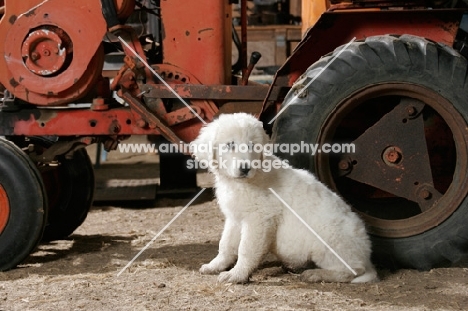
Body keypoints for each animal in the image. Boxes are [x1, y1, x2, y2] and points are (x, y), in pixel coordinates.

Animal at [192, 113, 378, 284]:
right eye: (230, 145)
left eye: (252, 146)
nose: (245, 168)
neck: (241, 182)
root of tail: (367, 256)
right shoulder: (235, 217)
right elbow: (226, 244)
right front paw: (215, 265)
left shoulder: (259, 219)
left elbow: (246, 249)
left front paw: (237, 275)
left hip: (328, 241)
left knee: (352, 270)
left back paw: (317, 274)